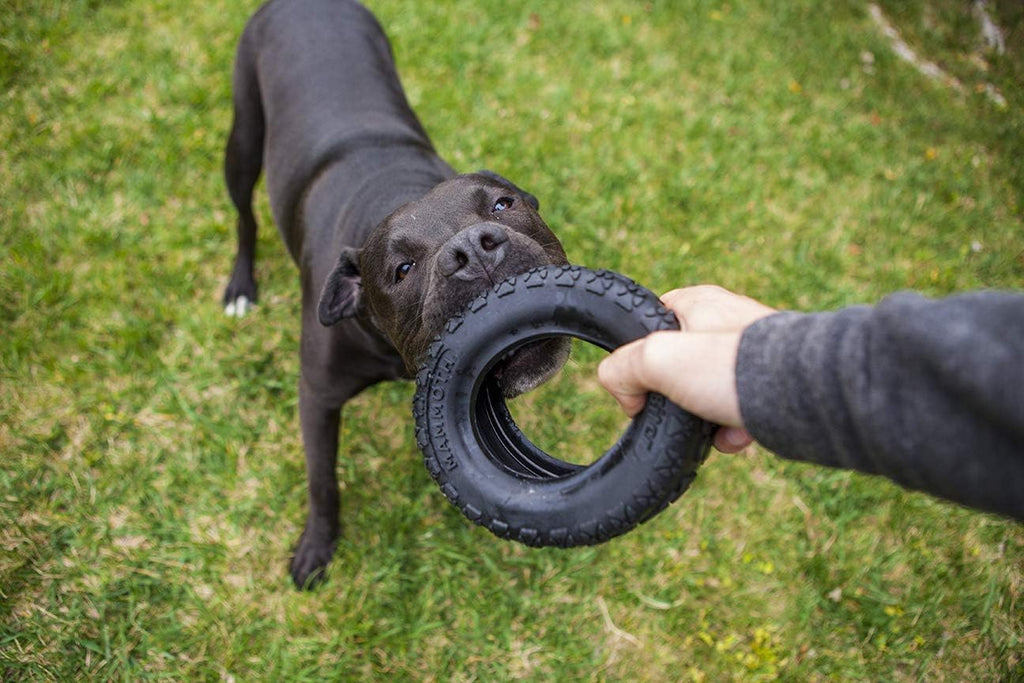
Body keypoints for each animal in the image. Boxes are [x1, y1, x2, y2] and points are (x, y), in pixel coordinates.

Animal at [222, 0, 569, 589]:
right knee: (245, 216)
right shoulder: (317, 398)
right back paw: (241, 287)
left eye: (502, 205)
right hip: (243, 139)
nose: (473, 250)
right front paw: (316, 550)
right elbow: (323, 482)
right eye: (402, 269)